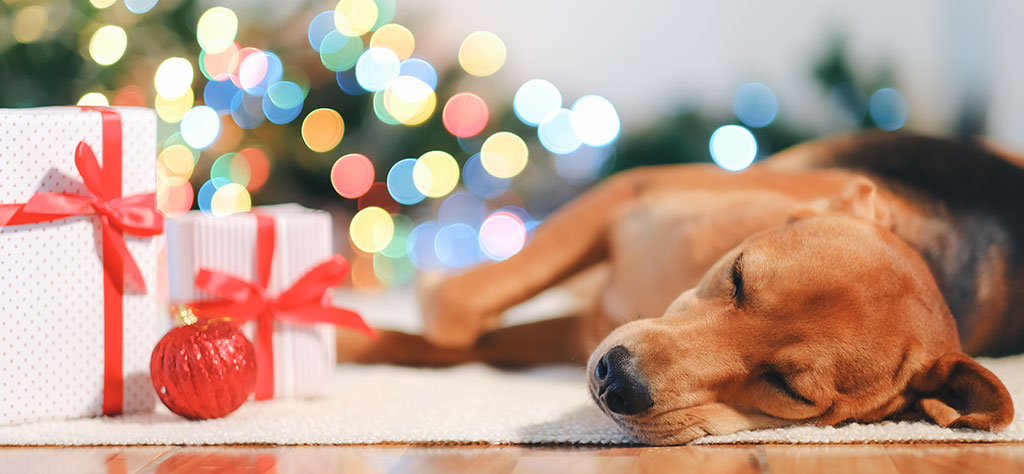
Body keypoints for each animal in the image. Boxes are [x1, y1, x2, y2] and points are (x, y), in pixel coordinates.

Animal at [337, 133, 1024, 446]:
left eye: (790, 390)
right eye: (739, 275)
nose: (615, 381)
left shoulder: (580, 331)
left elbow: (448, 333)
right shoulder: (629, 195)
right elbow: (452, 312)